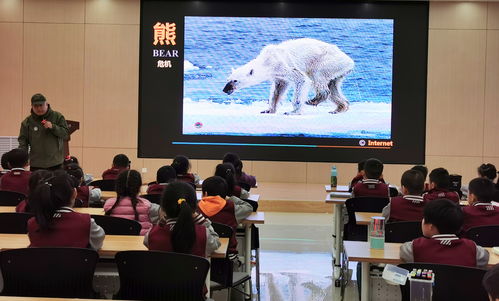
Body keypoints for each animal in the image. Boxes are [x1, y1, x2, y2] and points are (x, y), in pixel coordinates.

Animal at [223, 37, 356, 115]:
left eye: (235, 80)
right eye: (228, 79)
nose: (225, 89)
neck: (267, 60)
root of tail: (350, 61)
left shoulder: (283, 65)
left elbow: (301, 79)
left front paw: (293, 111)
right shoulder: (278, 75)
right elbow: (278, 89)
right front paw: (268, 110)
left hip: (326, 62)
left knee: (318, 77)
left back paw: (313, 100)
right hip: (337, 70)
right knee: (333, 87)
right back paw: (339, 108)